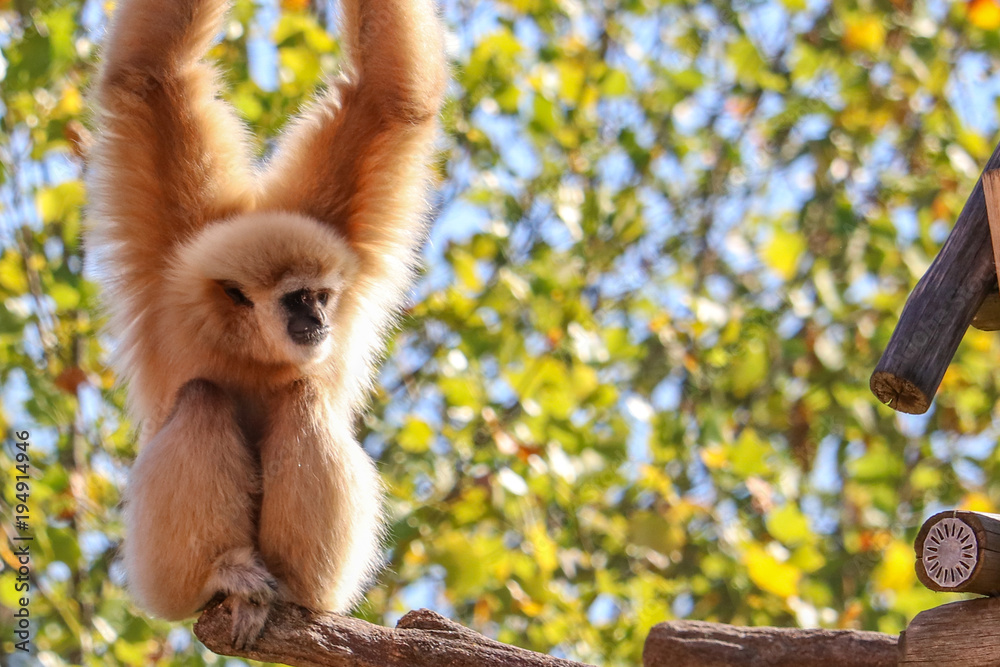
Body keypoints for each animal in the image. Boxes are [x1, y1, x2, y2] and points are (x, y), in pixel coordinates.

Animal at [84, 0, 447, 649]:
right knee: (201, 398)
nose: (320, 318)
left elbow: (391, 98)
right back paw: (224, 573)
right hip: (160, 582)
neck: (248, 341)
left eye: (324, 295)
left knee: (301, 395)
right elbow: (148, 74)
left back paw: (294, 590)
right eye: (297, 298)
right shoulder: (174, 262)